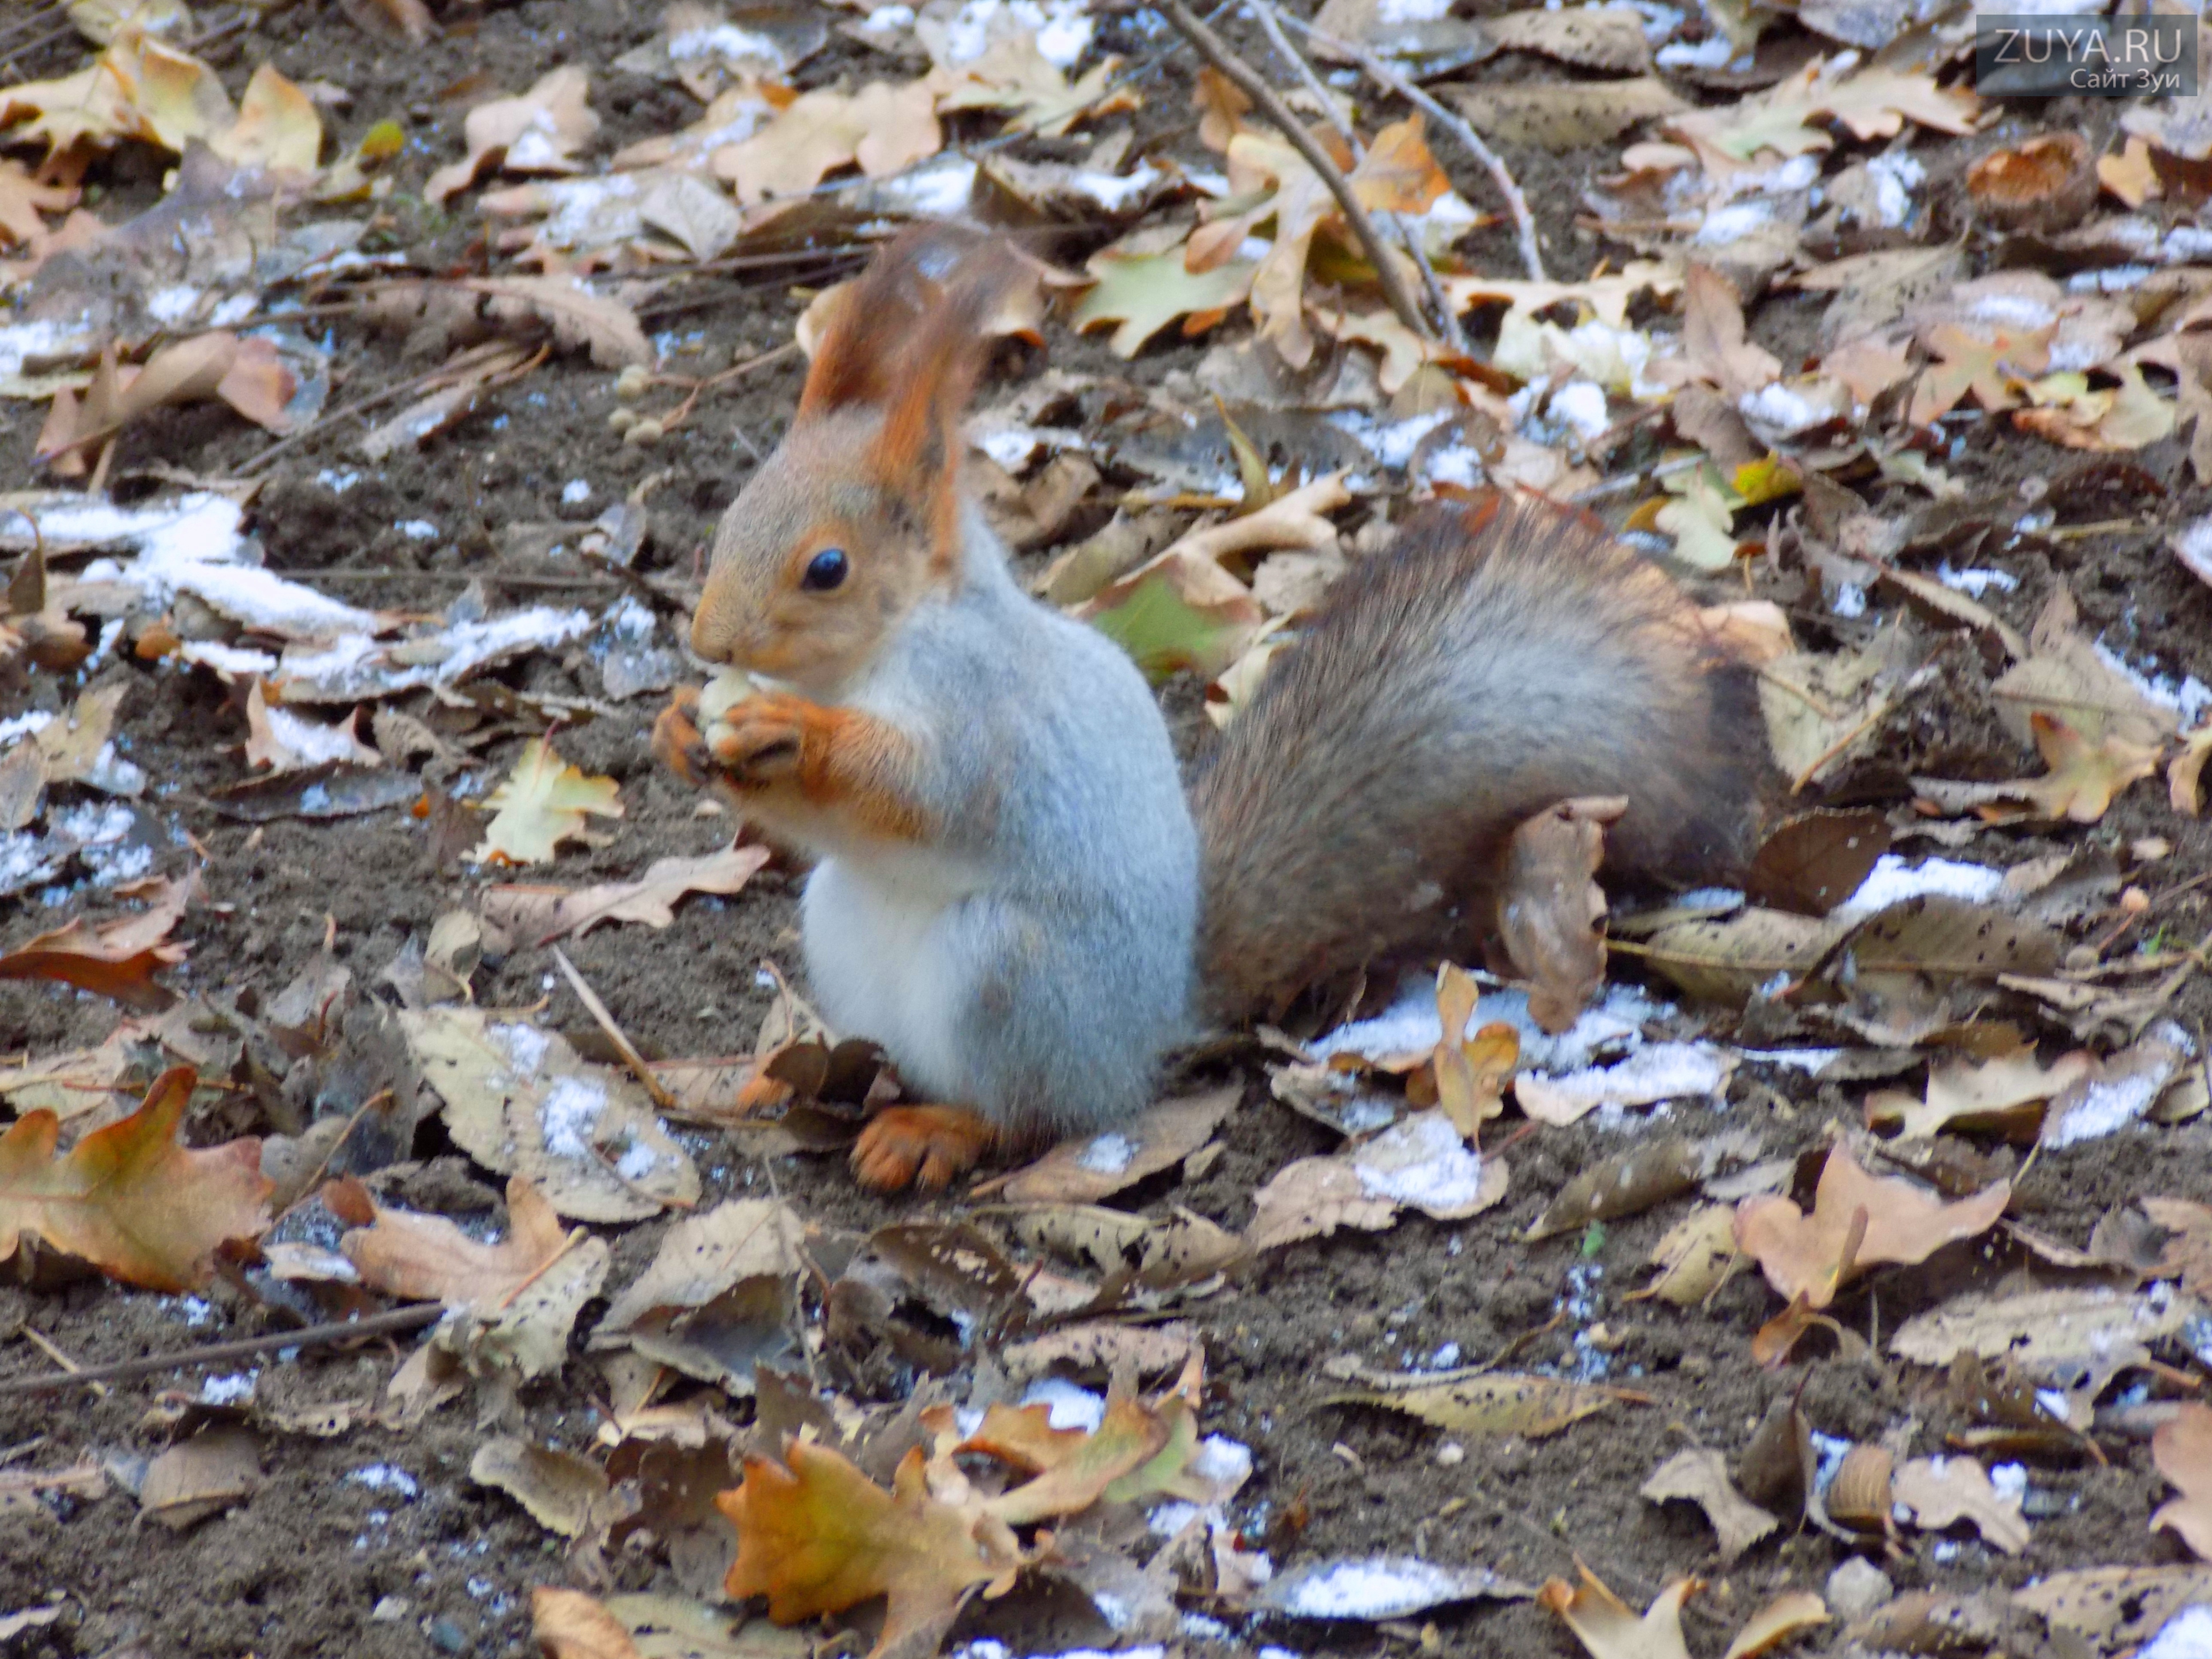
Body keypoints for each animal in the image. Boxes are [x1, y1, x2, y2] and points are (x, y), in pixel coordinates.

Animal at [646, 231, 1769, 1194]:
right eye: (729, 519)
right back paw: (807, 1077)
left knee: (1036, 1113)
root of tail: (1151, 1020)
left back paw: (936, 1129)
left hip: (1012, 976)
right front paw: (682, 732)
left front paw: (792, 735)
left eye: (826, 568)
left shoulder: (985, 713)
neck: (874, 657)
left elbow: (925, 791)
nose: (710, 641)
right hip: (839, 925)